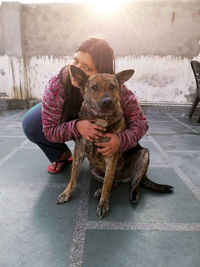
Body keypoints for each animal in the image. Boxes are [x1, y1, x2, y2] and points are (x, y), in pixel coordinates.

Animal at [56, 65, 173, 218]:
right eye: (94, 87)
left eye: (112, 87)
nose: (107, 101)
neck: (101, 119)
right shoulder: (79, 152)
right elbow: (73, 178)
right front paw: (66, 193)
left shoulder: (111, 156)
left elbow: (107, 184)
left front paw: (103, 204)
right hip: (94, 169)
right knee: (114, 182)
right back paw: (101, 190)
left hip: (144, 155)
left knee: (129, 183)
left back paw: (130, 194)